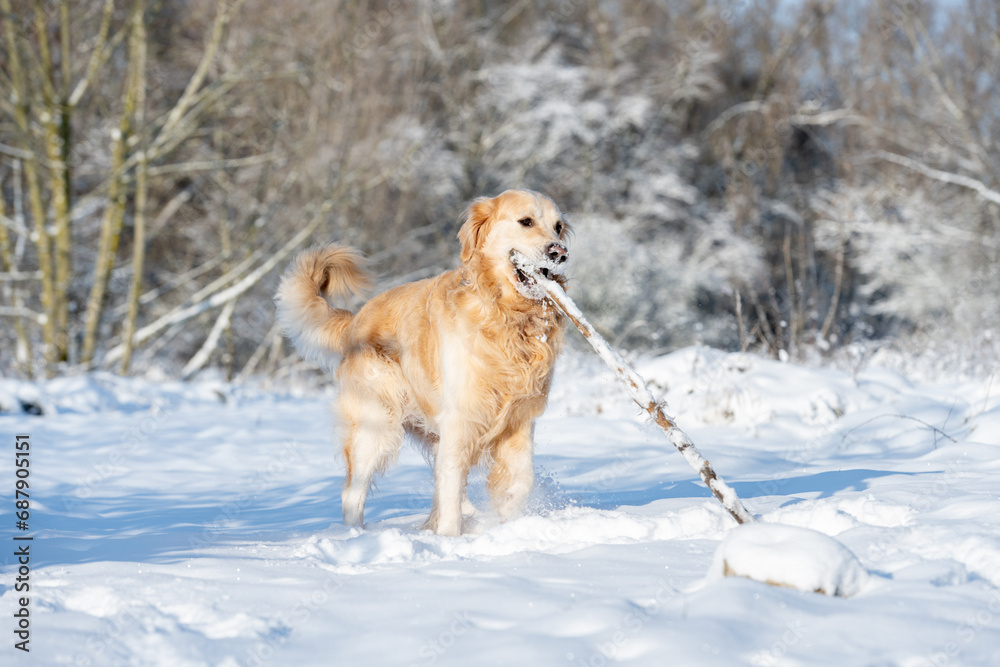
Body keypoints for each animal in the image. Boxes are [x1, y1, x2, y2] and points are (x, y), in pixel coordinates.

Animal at [276, 190, 572, 536]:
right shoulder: (460, 418)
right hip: (375, 423)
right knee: (354, 493)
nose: (559, 252)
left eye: (558, 227)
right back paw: (356, 536)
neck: (507, 318)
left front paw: (509, 525)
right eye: (526, 221)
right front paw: (450, 538)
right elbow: (452, 487)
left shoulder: (519, 421)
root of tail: (356, 320)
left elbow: (519, 480)